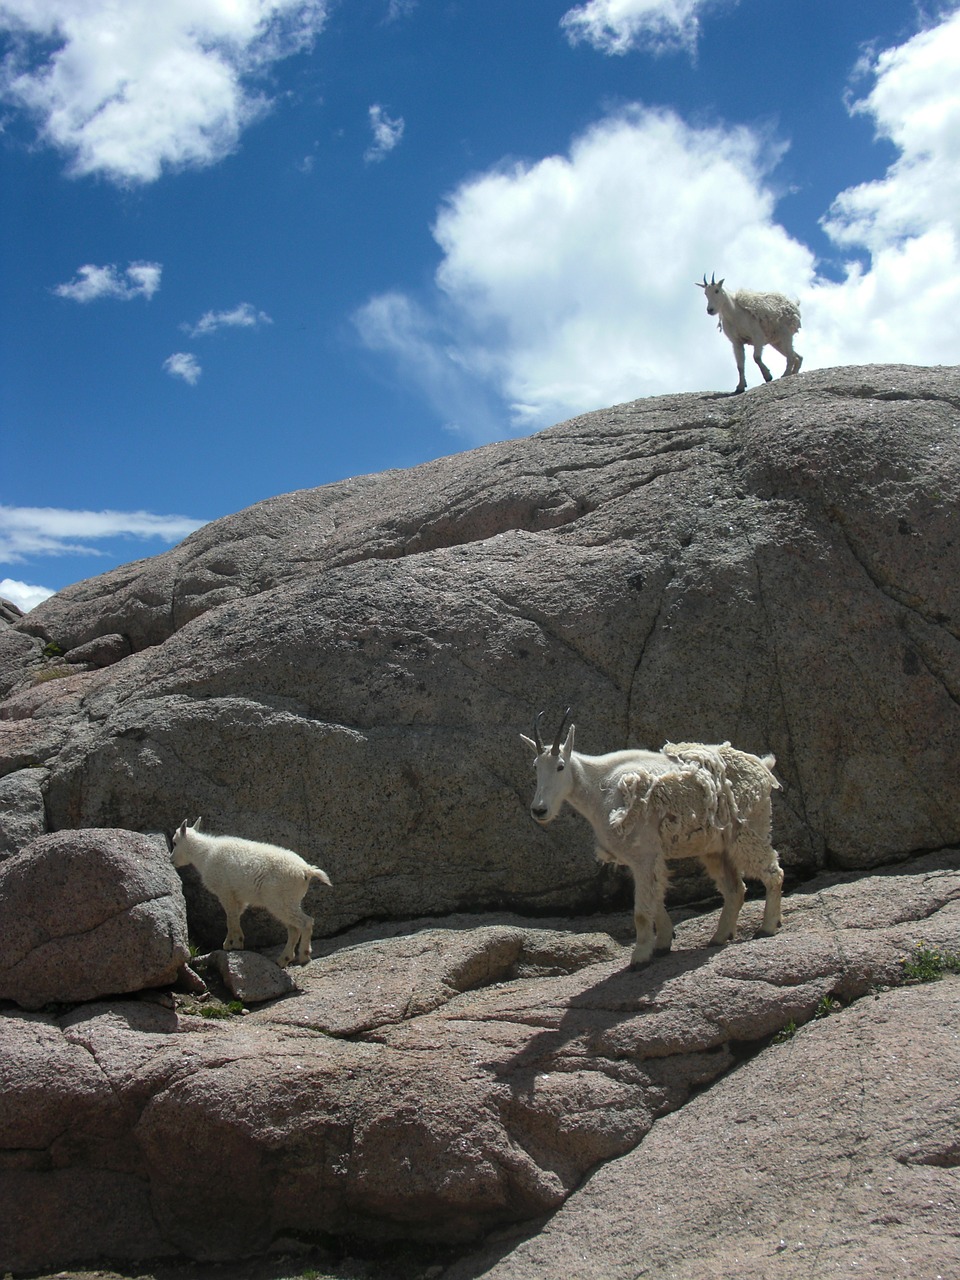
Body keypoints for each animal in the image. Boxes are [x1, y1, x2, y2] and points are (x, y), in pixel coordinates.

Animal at [172, 819, 335, 967]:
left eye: (174, 842)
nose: (171, 859)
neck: (204, 854)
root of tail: (306, 871)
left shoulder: (225, 891)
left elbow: (230, 917)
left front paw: (231, 944)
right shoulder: (239, 897)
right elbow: (235, 917)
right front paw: (235, 942)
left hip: (279, 900)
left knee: (305, 923)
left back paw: (304, 956)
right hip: (291, 900)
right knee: (294, 929)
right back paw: (284, 959)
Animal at [522, 711, 783, 967]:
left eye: (560, 766)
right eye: (535, 766)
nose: (539, 810)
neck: (598, 789)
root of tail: (763, 766)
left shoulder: (643, 854)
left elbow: (641, 910)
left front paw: (640, 957)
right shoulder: (644, 858)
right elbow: (656, 898)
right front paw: (662, 945)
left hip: (749, 828)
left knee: (773, 872)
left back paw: (767, 927)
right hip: (715, 848)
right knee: (735, 888)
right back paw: (719, 937)